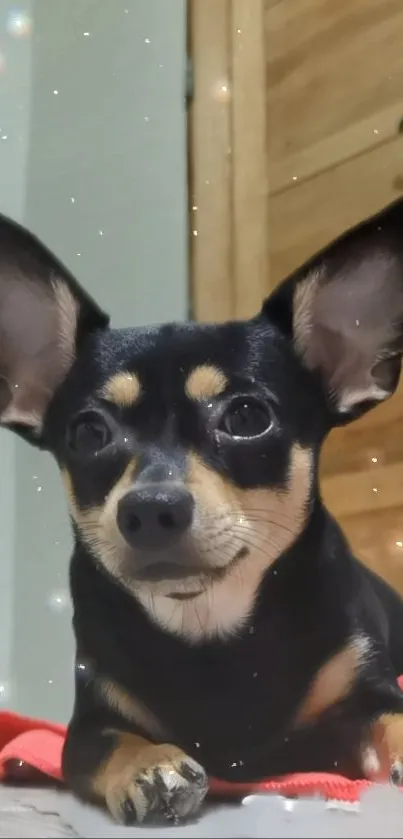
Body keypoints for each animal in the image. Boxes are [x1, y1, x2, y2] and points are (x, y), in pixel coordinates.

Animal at [0, 200, 403, 824]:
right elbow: (109, 742)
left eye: (247, 418)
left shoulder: (367, 698)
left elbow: (391, 719)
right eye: (89, 434)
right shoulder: (89, 723)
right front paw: (149, 764)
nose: (150, 509)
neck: (208, 623)